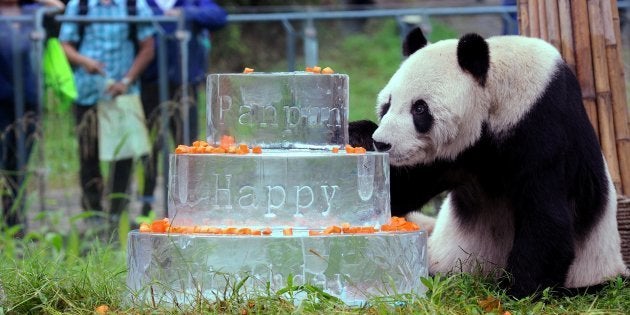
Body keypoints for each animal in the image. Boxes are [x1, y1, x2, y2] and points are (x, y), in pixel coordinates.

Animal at [350, 27, 630, 298]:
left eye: (419, 109)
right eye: (387, 104)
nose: (382, 143)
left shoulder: (544, 128)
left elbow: (547, 216)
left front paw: (515, 291)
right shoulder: (454, 155)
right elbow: (403, 191)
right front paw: (358, 136)